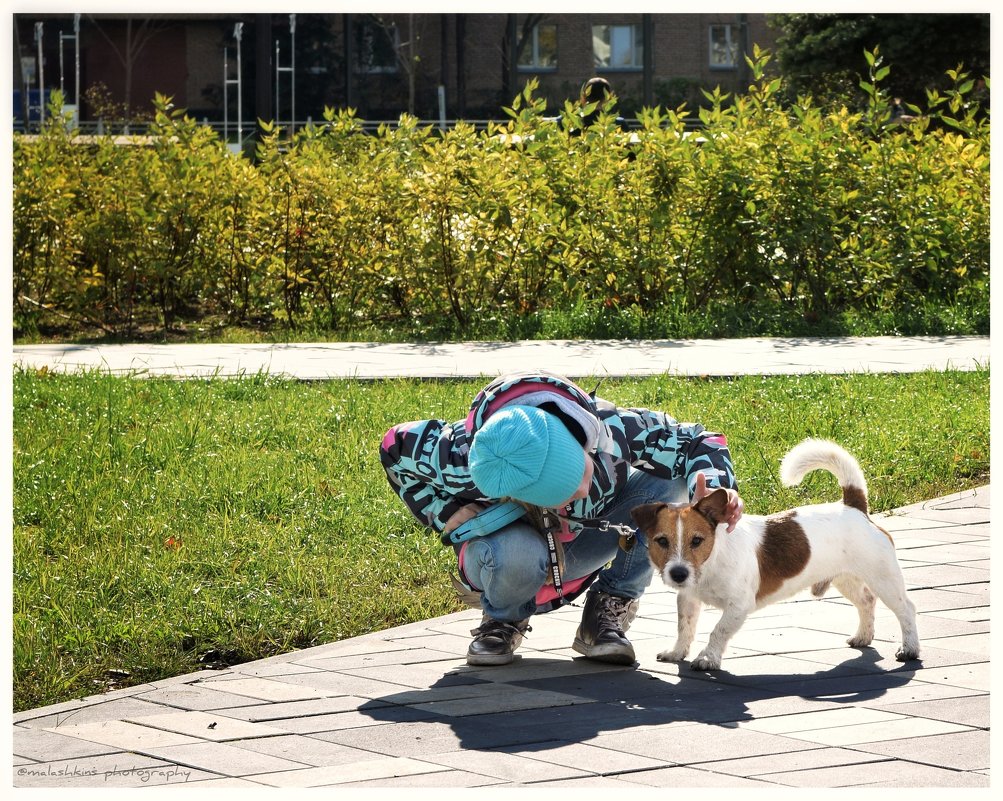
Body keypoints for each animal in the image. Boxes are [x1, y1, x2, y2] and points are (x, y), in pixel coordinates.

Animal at [629, 441, 918, 673]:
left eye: (697, 541)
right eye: (662, 541)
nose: (678, 574)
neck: (711, 562)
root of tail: (854, 506)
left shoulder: (738, 606)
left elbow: (718, 631)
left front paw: (708, 658)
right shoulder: (688, 599)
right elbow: (684, 627)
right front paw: (677, 652)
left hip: (884, 579)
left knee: (906, 609)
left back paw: (910, 649)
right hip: (846, 579)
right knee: (867, 601)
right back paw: (863, 637)